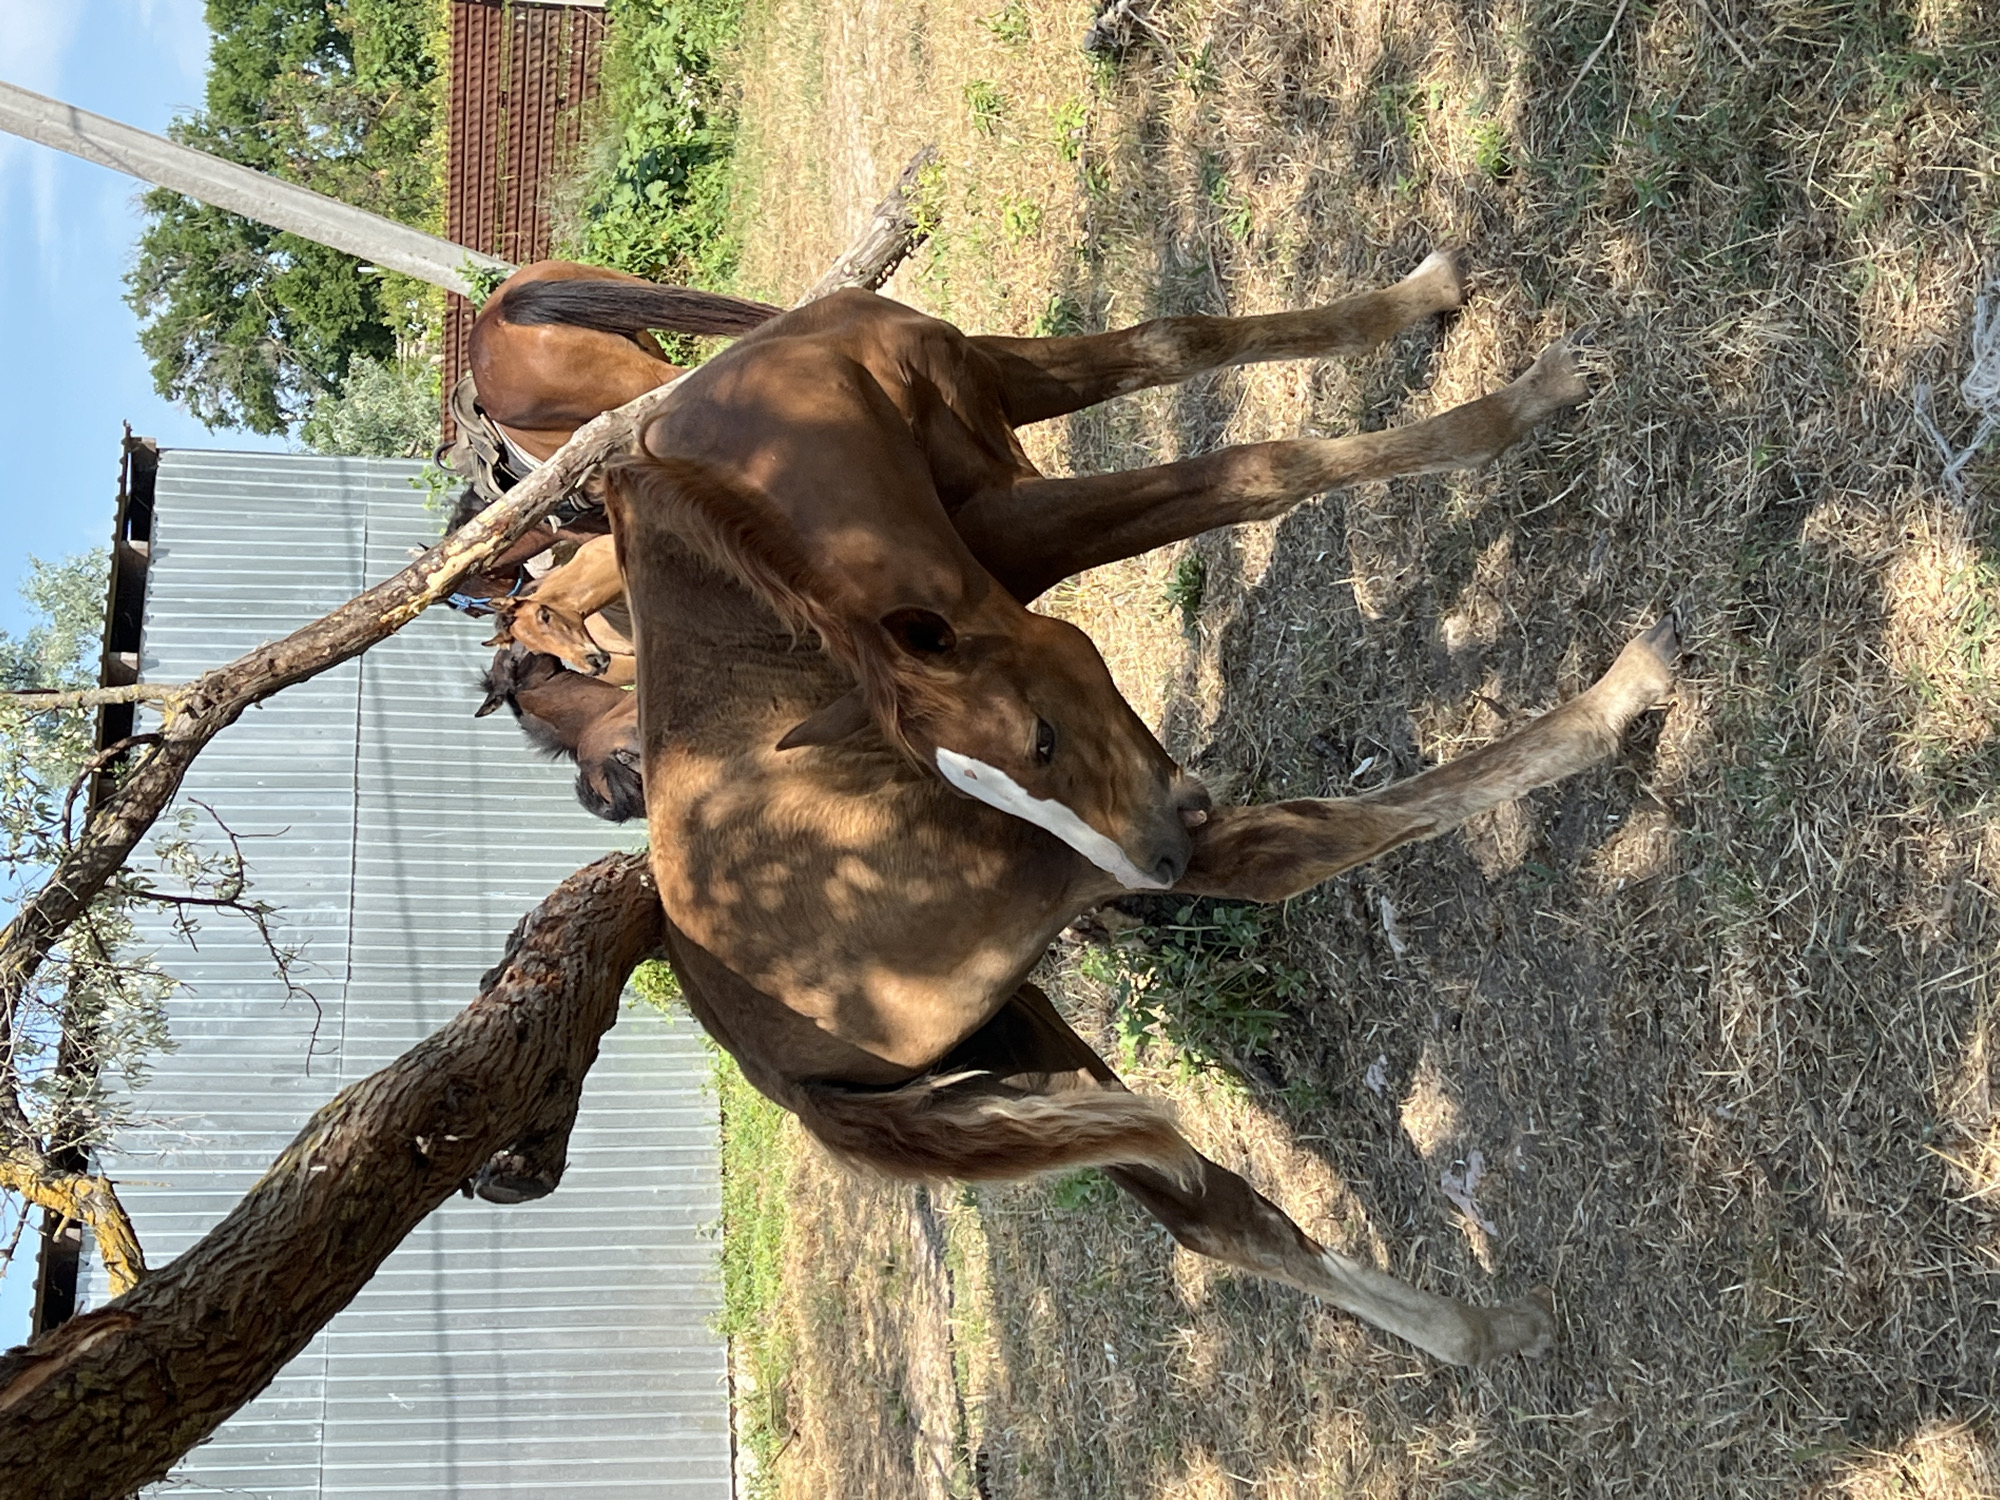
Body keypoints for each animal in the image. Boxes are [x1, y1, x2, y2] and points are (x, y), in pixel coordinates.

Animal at [593, 271, 1676, 1364]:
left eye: (1039, 741)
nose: (1155, 861)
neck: (746, 470)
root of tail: (767, 1060)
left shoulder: (988, 387)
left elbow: (1175, 341)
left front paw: (1425, 293)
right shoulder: (1014, 525)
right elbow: (1261, 467)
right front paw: (1528, 400)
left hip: (1018, 1039)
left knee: (1210, 1216)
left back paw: (1480, 1331)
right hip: (1068, 888)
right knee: (1296, 849)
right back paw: (1619, 693)